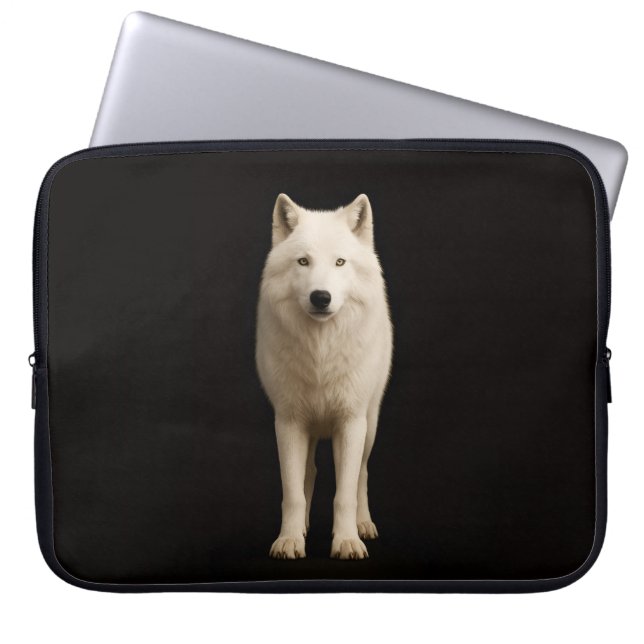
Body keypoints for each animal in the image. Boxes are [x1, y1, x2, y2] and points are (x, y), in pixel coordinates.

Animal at [256, 193, 393, 560]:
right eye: (303, 262)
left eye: (340, 263)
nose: (321, 297)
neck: (321, 352)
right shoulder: (288, 423)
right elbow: (292, 492)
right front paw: (289, 540)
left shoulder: (351, 422)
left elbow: (344, 493)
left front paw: (346, 541)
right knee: (310, 472)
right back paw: (303, 527)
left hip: (370, 425)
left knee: (362, 474)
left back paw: (364, 525)